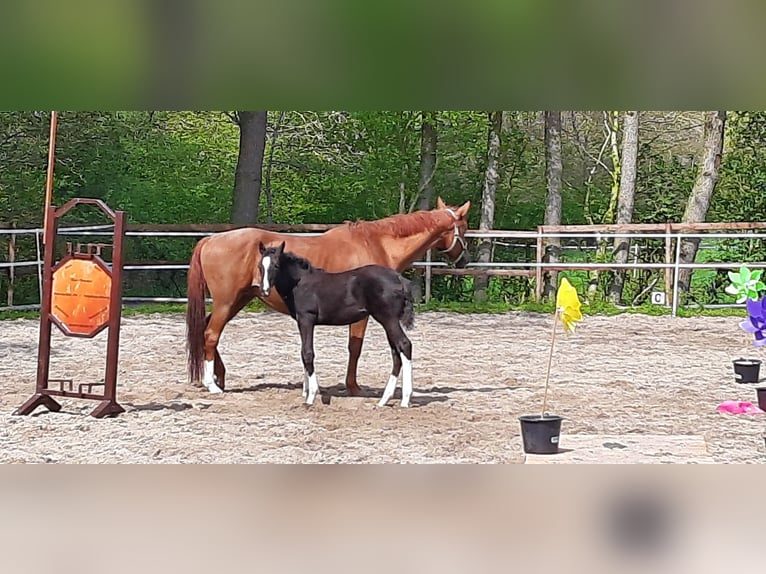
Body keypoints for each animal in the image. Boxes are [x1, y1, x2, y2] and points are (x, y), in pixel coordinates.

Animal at [256, 243, 414, 410]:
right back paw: (383, 400)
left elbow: (308, 353)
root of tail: (398, 278)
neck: (300, 283)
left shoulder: (306, 319)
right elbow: (302, 353)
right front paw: (306, 392)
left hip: (388, 319)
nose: (264, 290)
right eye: (260, 266)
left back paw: (405, 400)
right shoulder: (300, 321)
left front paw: (311, 396)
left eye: (276, 265)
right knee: (396, 352)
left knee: (404, 345)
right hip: (387, 321)